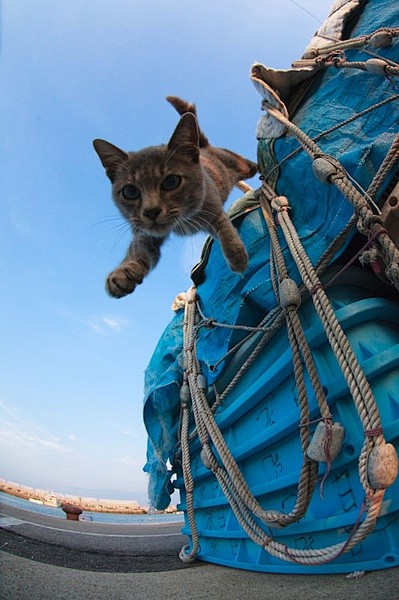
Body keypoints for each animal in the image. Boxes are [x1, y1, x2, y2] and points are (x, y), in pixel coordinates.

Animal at [93, 96, 256, 300]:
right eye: (130, 191)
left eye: (171, 181)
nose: (151, 211)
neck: (181, 222)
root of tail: (204, 147)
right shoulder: (146, 232)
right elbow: (138, 247)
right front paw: (123, 273)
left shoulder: (212, 205)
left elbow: (224, 225)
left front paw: (237, 257)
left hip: (241, 164)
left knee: (254, 165)